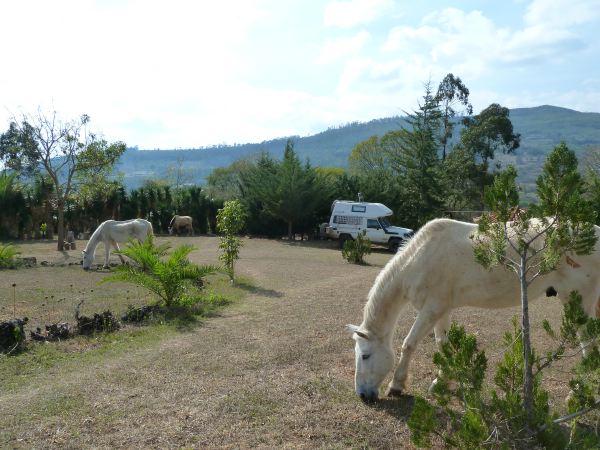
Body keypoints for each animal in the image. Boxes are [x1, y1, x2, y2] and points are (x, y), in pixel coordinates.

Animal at [346, 217, 600, 400]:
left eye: (365, 355)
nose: (363, 396)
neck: (420, 258)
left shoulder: (431, 309)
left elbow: (408, 344)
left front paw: (397, 385)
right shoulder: (442, 310)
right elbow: (443, 344)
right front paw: (442, 381)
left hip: (580, 304)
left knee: (588, 347)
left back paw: (576, 394)